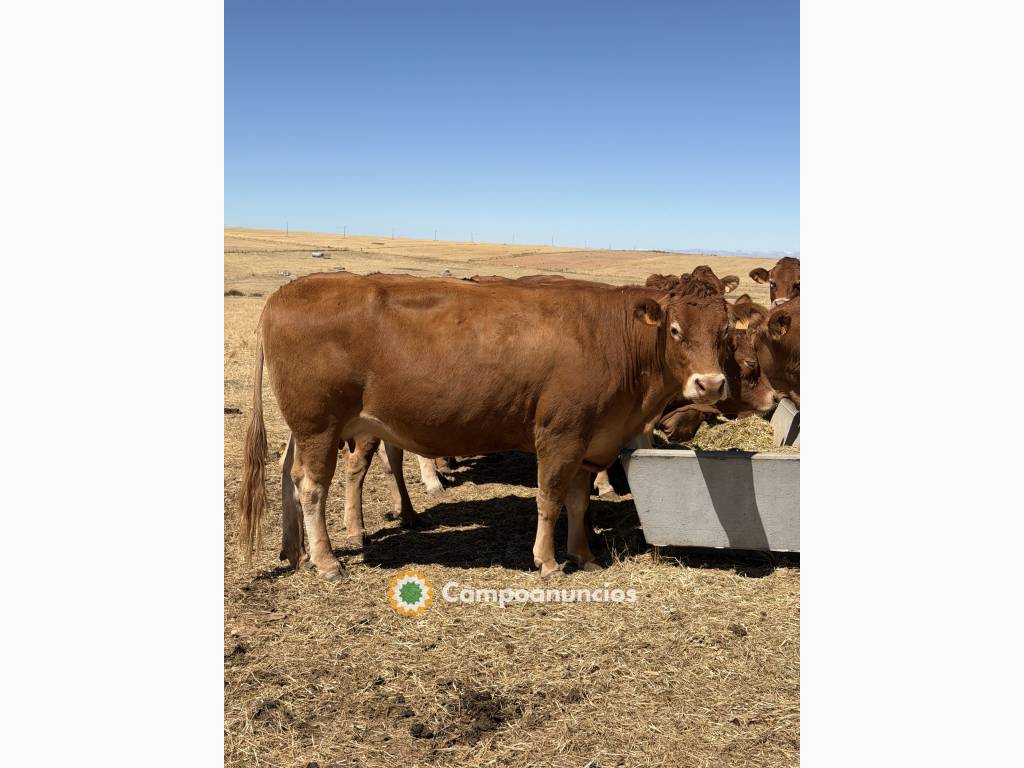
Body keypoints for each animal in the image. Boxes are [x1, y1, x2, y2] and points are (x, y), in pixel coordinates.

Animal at [240, 272, 731, 579]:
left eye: (724, 331)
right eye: (675, 329)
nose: (710, 384)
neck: (611, 338)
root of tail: (288, 291)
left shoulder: (592, 438)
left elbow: (578, 502)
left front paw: (584, 554)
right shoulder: (559, 436)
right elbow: (550, 500)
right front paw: (547, 561)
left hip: (307, 429)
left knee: (288, 475)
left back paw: (296, 551)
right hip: (319, 426)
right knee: (311, 488)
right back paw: (326, 561)